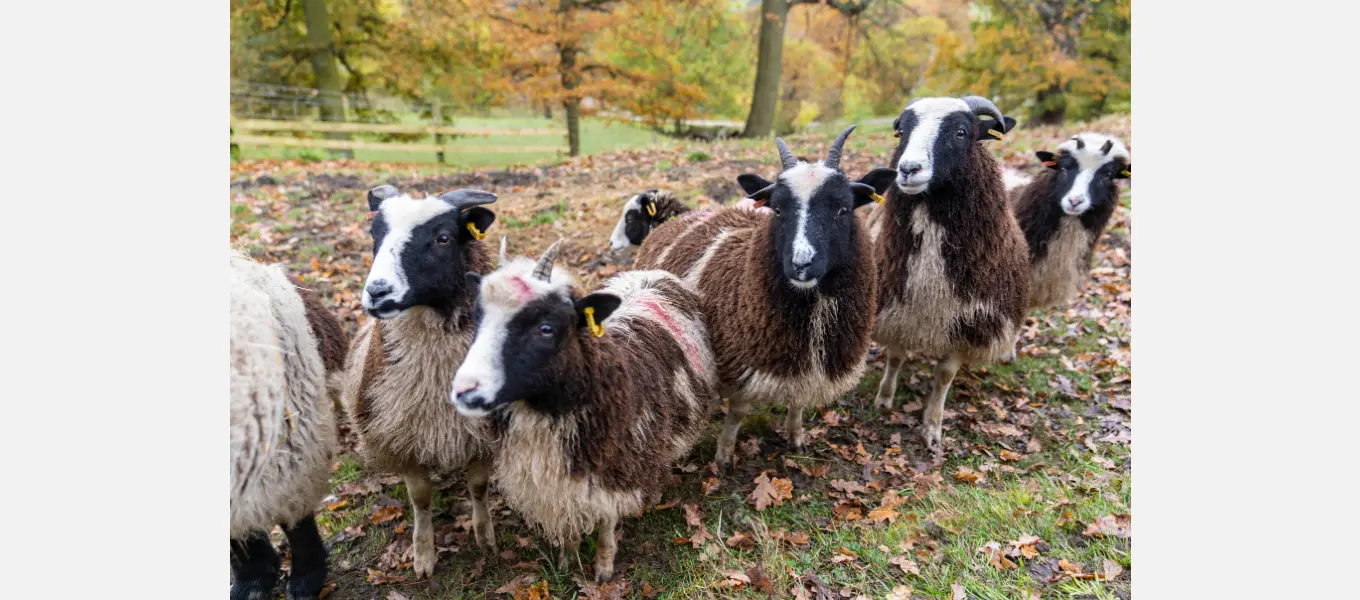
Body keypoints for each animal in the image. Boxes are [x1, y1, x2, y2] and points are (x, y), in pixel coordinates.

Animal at [338, 185, 501, 578]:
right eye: (375, 235)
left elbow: (478, 487)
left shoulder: (483, 434)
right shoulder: (401, 436)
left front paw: (484, 536)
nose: (377, 292)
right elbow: (421, 499)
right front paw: (423, 555)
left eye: (443, 238)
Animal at [450, 240, 717, 582]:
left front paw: (603, 568)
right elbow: (569, 524)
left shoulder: (614, 471)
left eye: (546, 328)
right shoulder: (558, 483)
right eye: (477, 320)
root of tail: (652, 273)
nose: (464, 391)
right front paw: (568, 560)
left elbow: (606, 522)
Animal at [633, 126, 897, 466]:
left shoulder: (806, 369)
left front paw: (796, 438)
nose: (801, 264)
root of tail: (685, 217)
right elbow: (738, 412)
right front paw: (724, 455)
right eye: (778, 209)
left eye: (843, 209)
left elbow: (799, 402)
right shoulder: (741, 365)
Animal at [865, 96, 1030, 456]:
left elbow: (943, 377)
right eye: (902, 131)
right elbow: (896, 357)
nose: (908, 169)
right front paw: (884, 398)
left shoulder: (966, 323)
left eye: (961, 132)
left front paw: (932, 426)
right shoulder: (897, 310)